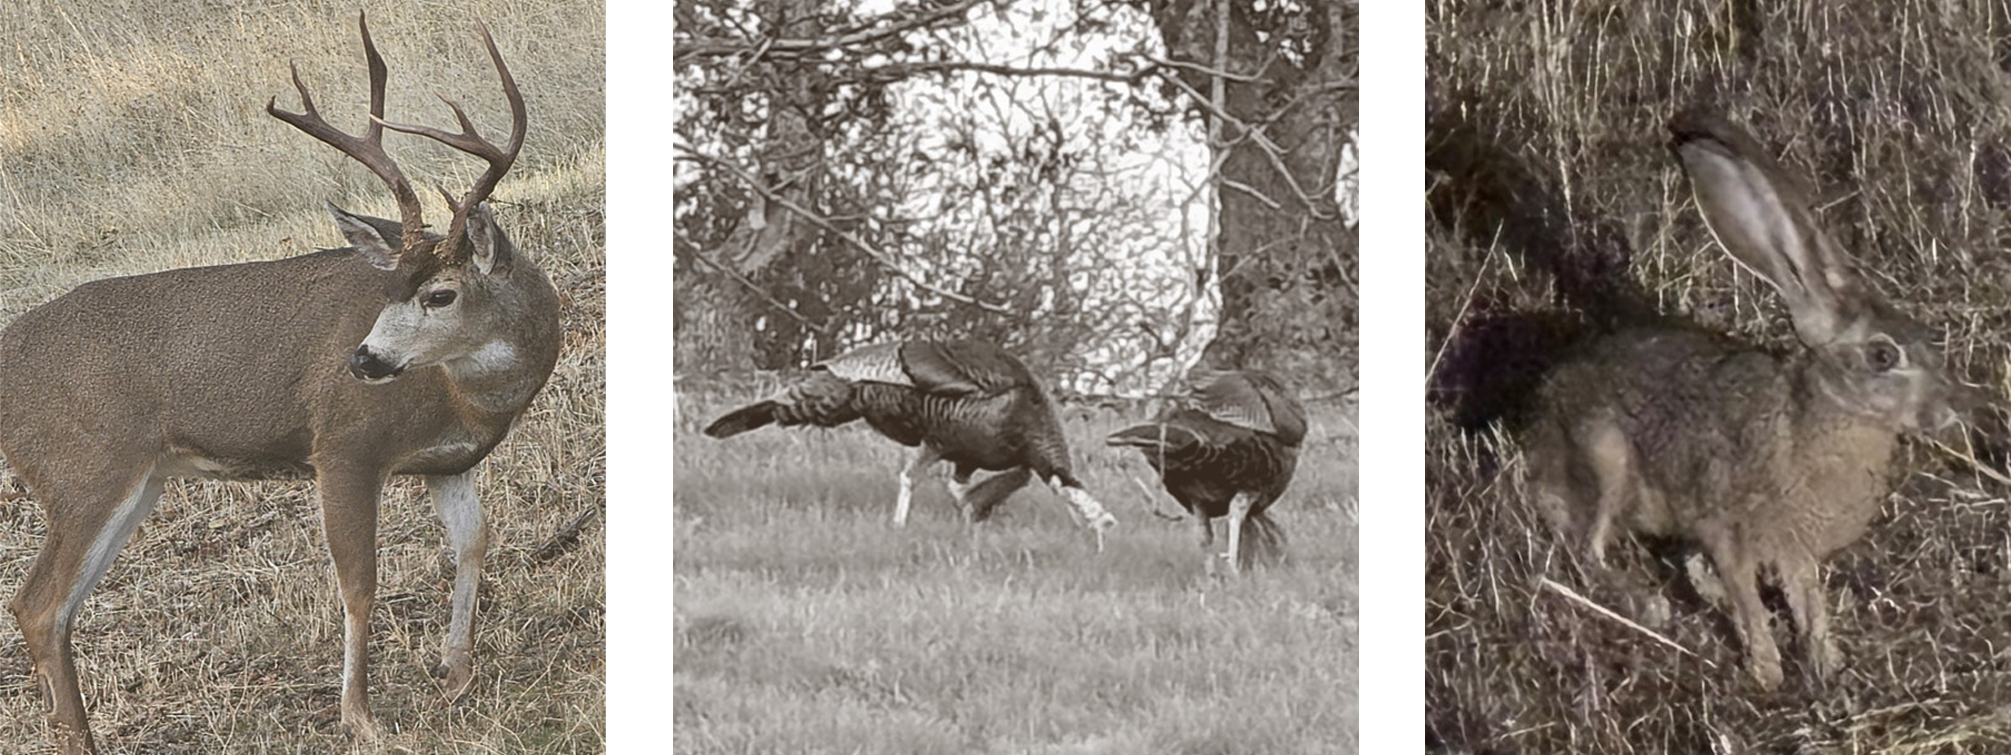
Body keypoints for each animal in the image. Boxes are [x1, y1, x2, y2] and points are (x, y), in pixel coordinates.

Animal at [0, 14, 561, 753]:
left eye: (439, 294)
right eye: (388, 292)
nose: (362, 361)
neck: (469, 398)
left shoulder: (450, 462)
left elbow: (472, 544)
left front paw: (455, 675)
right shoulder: (345, 445)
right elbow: (358, 581)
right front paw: (362, 717)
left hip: (133, 480)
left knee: (53, 608)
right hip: (84, 466)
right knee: (38, 604)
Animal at [1522, 112, 1964, 690]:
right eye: (1883, 356)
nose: (1945, 412)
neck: (1814, 418)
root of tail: (1541, 417)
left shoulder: (1794, 547)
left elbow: (1809, 602)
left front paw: (1826, 662)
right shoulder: (1728, 529)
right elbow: (1748, 598)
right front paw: (1769, 670)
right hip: (1606, 458)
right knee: (1586, 551)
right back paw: (1648, 606)